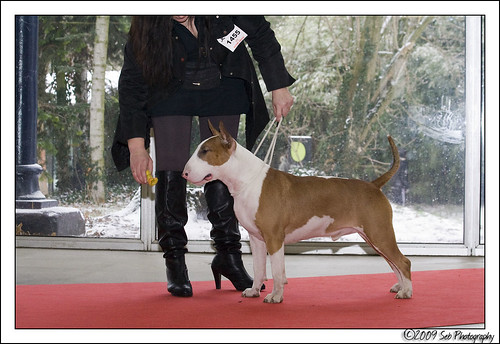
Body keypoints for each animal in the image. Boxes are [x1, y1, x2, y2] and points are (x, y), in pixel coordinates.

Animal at [182, 121, 412, 304]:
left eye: (205, 151)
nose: (184, 173)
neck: (248, 181)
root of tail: (374, 185)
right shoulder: (256, 239)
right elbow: (258, 269)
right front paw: (254, 291)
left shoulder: (274, 238)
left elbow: (277, 271)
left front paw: (275, 296)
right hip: (374, 237)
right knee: (394, 263)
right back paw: (399, 287)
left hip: (379, 233)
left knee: (403, 262)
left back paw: (406, 292)